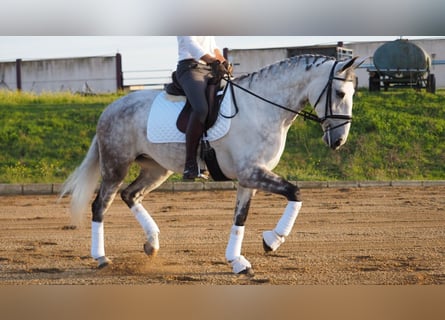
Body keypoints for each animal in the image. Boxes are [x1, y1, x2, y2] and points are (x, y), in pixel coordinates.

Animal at [60, 53, 362, 274]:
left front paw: (237, 261)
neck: (263, 108)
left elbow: (240, 217)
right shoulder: (252, 173)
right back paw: (101, 257)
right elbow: (295, 192)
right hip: (116, 166)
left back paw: (152, 243)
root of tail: (110, 108)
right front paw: (272, 241)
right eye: (339, 93)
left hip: (156, 169)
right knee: (100, 205)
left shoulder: (249, 177)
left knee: (130, 195)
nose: (338, 141)